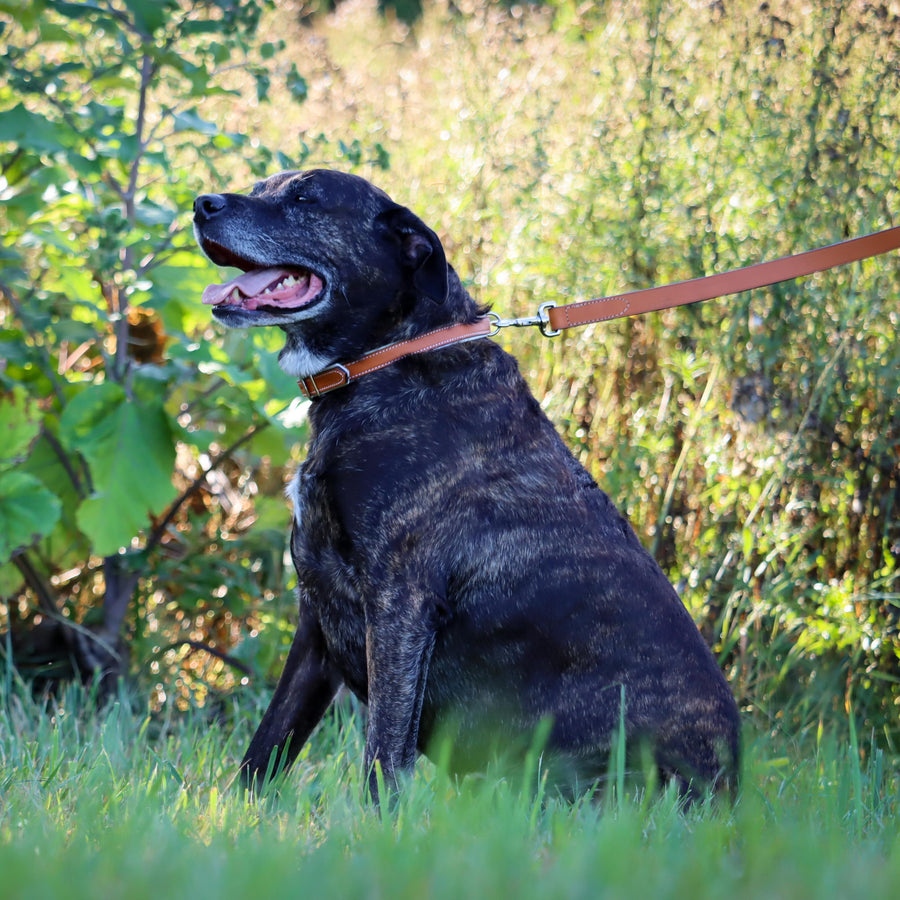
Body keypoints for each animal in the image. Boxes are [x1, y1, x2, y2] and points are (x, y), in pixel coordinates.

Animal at [190, 171, 740, 800]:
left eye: (304, 198)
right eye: (262, 186)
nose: (201, 205)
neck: (390, 359)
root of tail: (730, 793)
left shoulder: (399, 602)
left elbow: (383, 752)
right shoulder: (317, 616)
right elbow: (266, 747)